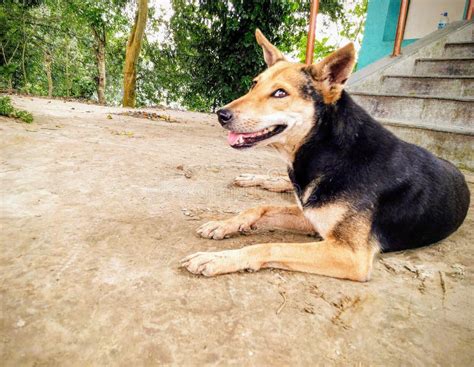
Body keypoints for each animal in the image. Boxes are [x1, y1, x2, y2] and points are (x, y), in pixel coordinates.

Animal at [180, 29, 468, 282]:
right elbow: (260, 207)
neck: (330, 151)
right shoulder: (311, 215)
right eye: (254, 85)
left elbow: (270, 245)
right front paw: (224, 224)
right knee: (284, 186)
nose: (221, 114)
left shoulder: (349, 253)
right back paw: (256, 179)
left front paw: (219, 258)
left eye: (280, 93)